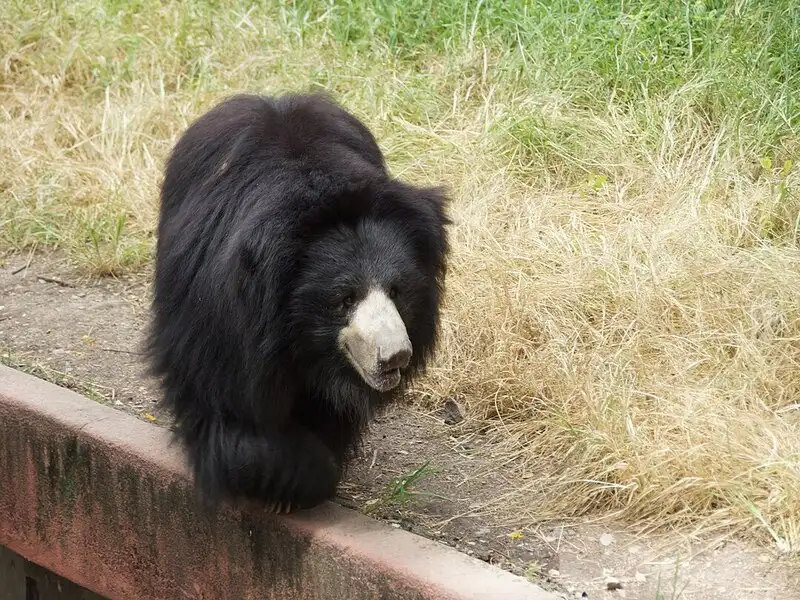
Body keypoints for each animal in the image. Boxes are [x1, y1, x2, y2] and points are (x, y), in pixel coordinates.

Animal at [146, 91, 450, 512]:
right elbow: (229, 405)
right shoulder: (225, 321)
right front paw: (291, 478)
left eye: (397, 291)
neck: (305, 342)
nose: (394, 357)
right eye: (344, 299)